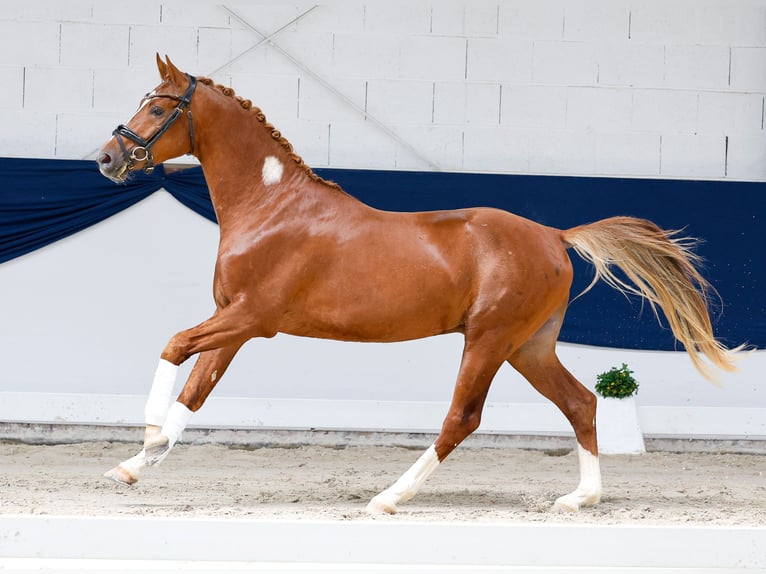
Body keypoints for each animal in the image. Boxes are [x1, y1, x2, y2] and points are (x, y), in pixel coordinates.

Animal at [96, 55, 741, 514]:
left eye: (158, 108)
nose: (107, 158)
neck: (271, 206)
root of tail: (555, 236)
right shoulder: (233, 322)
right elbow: (195, 390)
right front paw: (134, 465)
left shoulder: (253, 318)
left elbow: (174, 346)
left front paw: (147, 438)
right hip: (529, 346)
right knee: (581, 402)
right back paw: (580, 498)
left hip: (488, 340)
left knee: (463, 418)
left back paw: (388, 498)